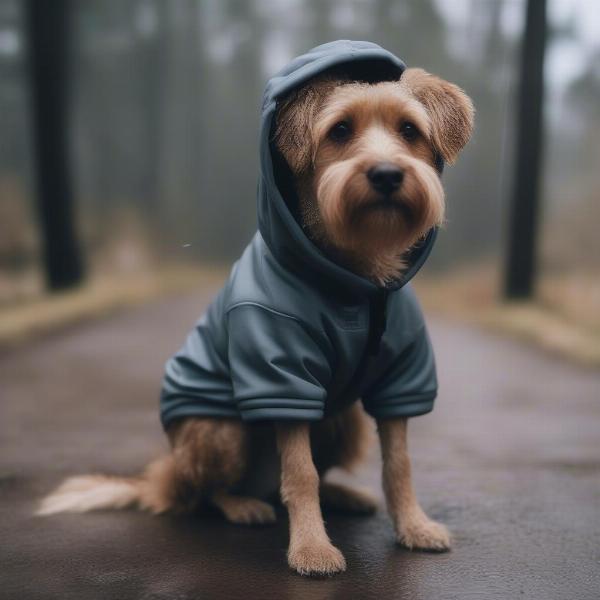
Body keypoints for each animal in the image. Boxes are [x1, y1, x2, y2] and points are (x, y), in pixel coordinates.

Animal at [37, 42, 474, 576]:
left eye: (409, 130)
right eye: (340, 130)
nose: (387, 174)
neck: (356, 281)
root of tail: (166, 475)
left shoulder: (401, 378)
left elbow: (399, 463)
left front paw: (413, 525)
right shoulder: (281, 381)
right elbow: (299, 472)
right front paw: (311, 548)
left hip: (342, 421)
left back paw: (342, 495)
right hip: (221, 432)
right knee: (206, 494)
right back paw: (242, 504)